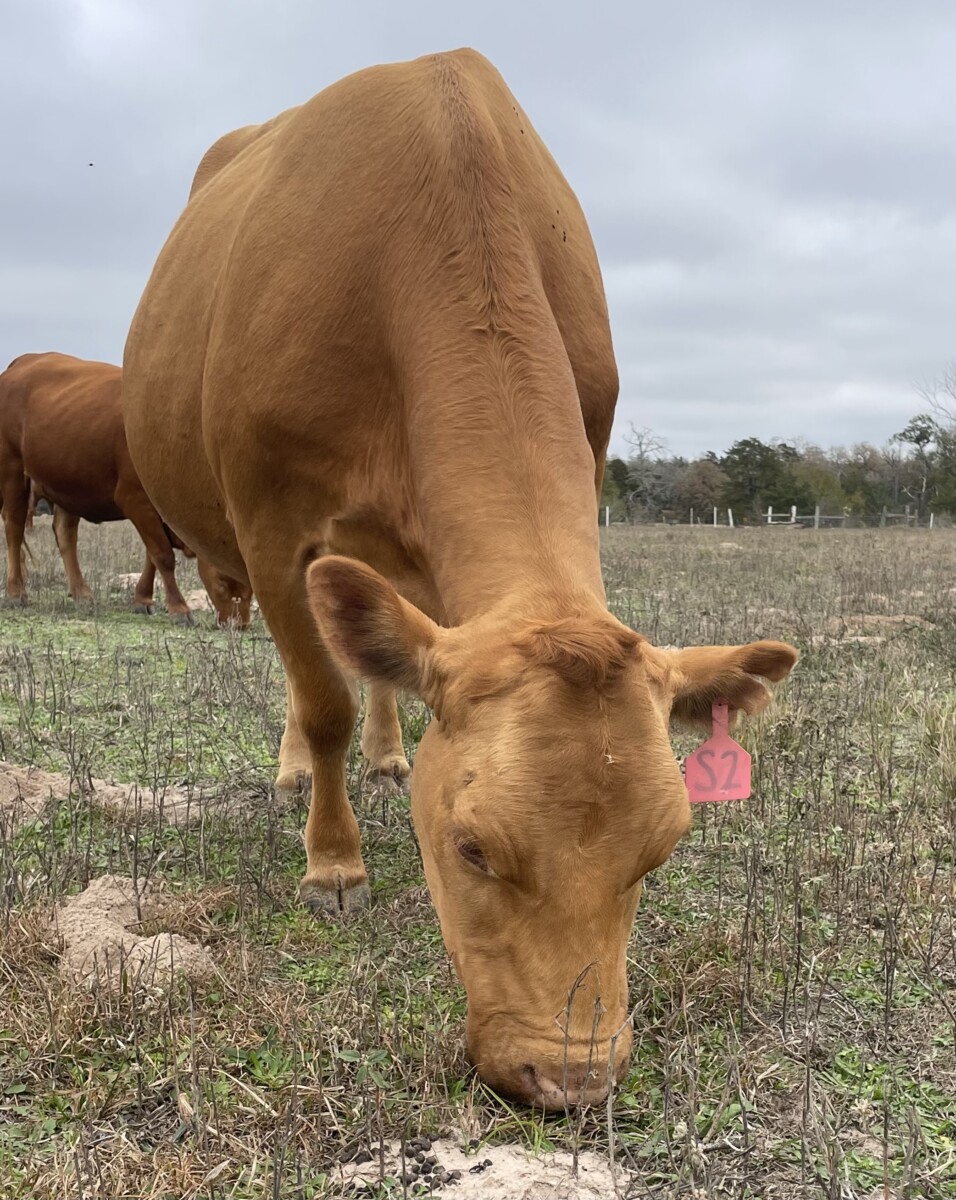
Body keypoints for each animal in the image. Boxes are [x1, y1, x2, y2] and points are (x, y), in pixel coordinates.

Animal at [0, 352, 252, 627]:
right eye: (223, 577)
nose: (240, 625)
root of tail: (26, 360)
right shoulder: (135, 500)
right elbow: (163, 555)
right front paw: (179, 608)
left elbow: (151, 557)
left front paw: (143, 599)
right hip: (13, 469)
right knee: (14, 529)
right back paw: (16, 592)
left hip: (69, 480)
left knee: (65, 534)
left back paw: (82, 593)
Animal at [123, 49, 797, 1109]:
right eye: (473, 846)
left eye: (663, 850)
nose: (569, 1079)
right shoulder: (272, 528)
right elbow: (321, 702)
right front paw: (334, 864)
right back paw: (300, 777)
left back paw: (390, 754)